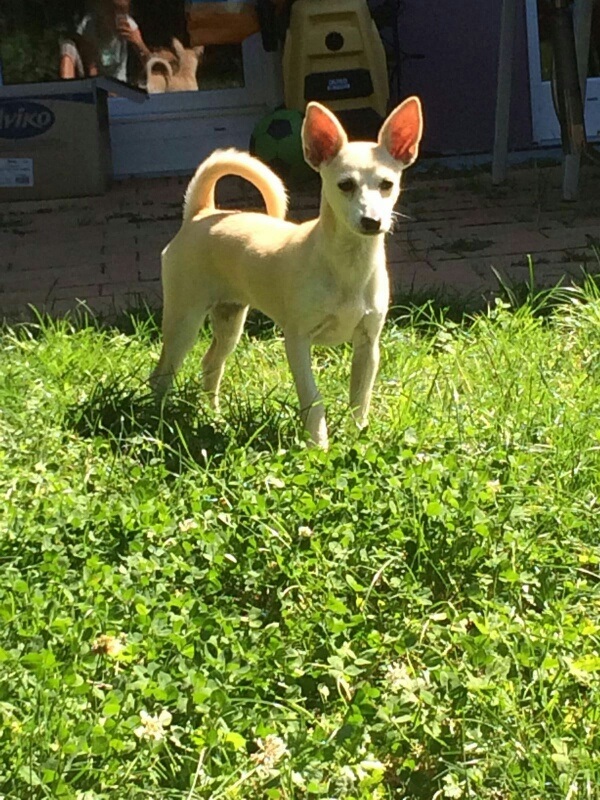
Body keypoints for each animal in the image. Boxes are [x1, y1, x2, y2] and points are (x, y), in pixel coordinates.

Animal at [149, 97, 423, 448]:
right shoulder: (296, 341)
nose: (372, 221)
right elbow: (313, 399)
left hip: (229, 319)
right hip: (184, 321)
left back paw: (214, 417)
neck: (348, 265)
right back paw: (157, 421)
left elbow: (359, 399)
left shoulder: (368, 345)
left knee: (210, 364)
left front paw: (356, 438)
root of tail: (202, 213)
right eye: (345, 185)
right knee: (162, 375)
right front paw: (318, 446)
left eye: (387, 185)